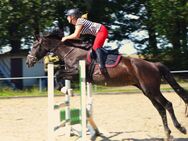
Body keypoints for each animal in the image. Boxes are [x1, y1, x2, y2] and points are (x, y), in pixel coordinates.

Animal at [26, 32, 188, 140]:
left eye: (34, 46)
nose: (28, 62)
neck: (71, 51)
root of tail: (154, 65)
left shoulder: (76, 72)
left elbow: (58, 73)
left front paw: (66, 89)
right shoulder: (73, 74)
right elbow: (58, 74)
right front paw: (67, 90)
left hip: (152, 89)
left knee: (167, 104)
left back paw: (180, 128)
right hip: (146, 91)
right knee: (160, 109)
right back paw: (167, 134)